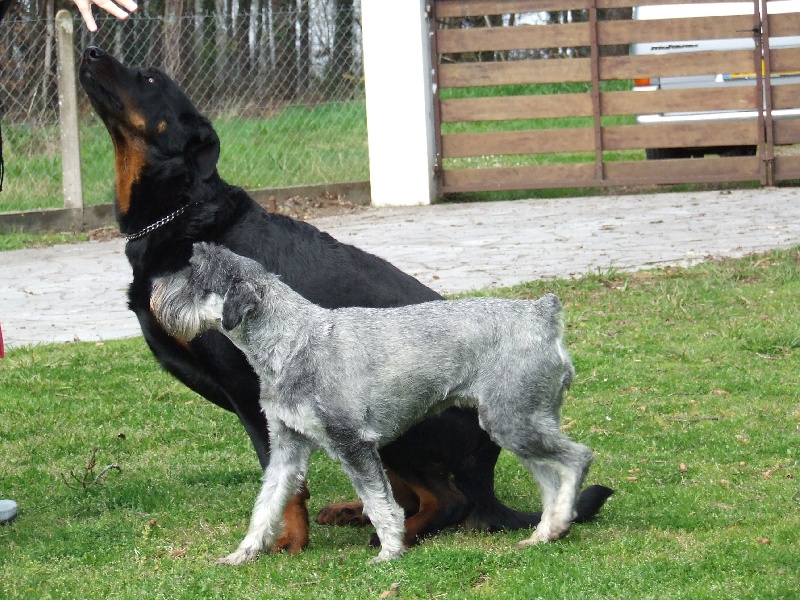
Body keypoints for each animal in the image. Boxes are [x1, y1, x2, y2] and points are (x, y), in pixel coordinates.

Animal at [150, 243, 592, 564]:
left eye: (193, 278)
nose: (153, 290)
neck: (291, 341)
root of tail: (542, 314)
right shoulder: (287, 446)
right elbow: (268, 504)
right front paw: (241, 554)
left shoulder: (352, 443)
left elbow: (380, 504)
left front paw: (389, 553)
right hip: (520, 423)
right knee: (550, 477)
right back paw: (544, 534)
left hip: (511, 421)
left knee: (577, 458)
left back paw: (557, 522)